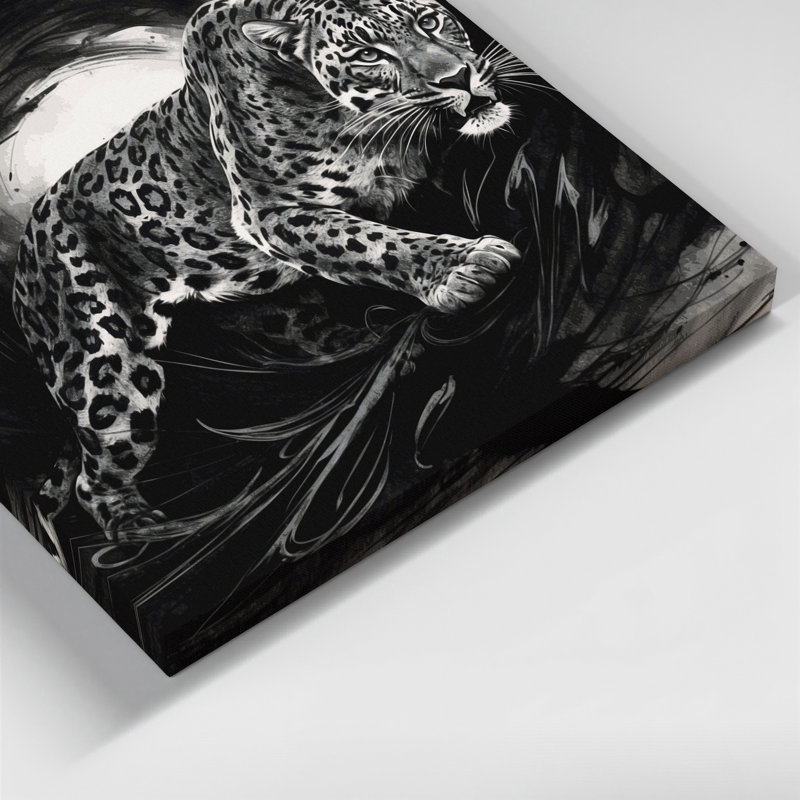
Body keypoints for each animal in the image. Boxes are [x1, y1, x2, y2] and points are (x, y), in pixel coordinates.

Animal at [12, 0, 523, 540]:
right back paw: (141, 530)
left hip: (271, 310)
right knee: (96, 473)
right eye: (368, 54)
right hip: (105, 367)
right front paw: (462, 265)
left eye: (429, 21)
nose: (459, 77)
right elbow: (367, 241)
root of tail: (28, 246)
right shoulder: (271, 212)